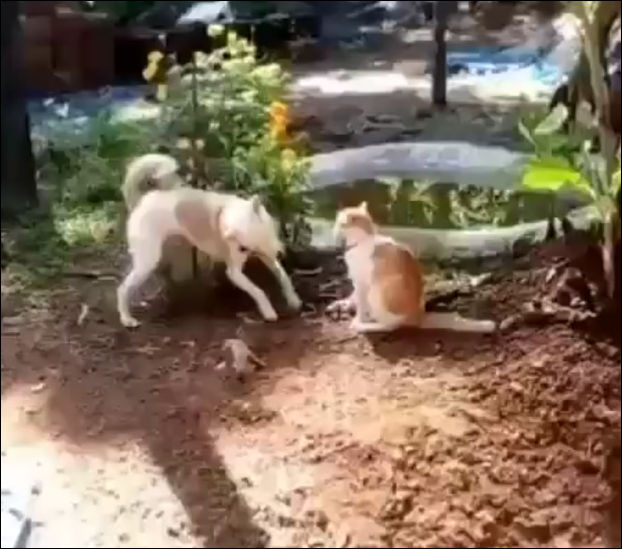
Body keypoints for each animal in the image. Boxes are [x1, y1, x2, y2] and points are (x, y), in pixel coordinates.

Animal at [117, 153, 302, 328]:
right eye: (242, 247)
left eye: (265, 234)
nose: (281, 252)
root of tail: (143, 201)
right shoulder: (235, 273)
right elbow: (258, 291)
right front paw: (268, 311)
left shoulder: (268, 256)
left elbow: (283, 276)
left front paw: (293, 299)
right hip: (148, 259)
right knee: (123, 289)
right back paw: (127, 318)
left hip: (163, 252)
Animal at [328, 201, 496, 334]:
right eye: (337, 221)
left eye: (343, 222)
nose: (336, 226)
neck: (362, 241)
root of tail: (419, 317)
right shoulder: (356, 282)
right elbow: (355, 298)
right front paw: (348, 306)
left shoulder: (362, 282)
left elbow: (360, 305)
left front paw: (359, 319)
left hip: (377, 291)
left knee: (390, 325)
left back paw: (364, 325)